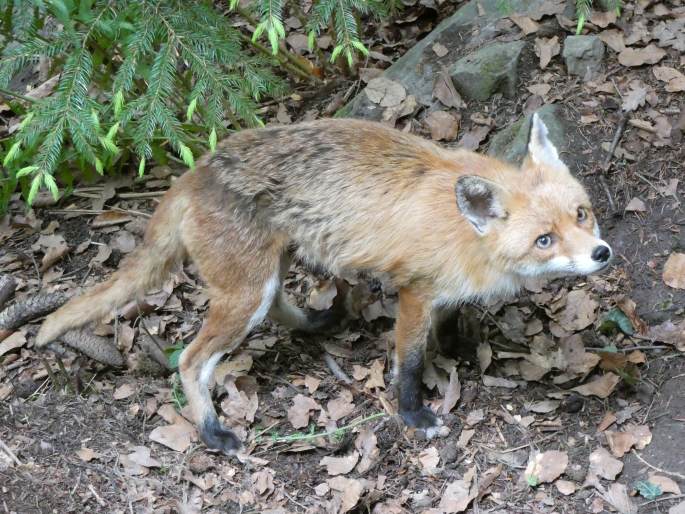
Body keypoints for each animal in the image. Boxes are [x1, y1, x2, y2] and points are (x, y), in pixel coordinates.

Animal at [34, 113, 612, 452]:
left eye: (582, 215)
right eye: (544, 240)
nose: (601, 253)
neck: (468, 232)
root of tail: (195, 171)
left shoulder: (444, 292)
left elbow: (452, 322)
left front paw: (460, 348)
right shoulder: (415, 291)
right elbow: (408, 363)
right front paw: (414, 414)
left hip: (268, 274)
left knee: (276, 309)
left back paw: (319, 321)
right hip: (244, 296)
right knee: (191, 361)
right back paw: (212, 433)